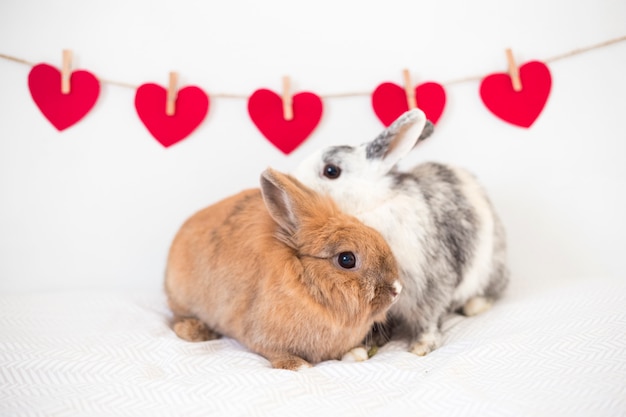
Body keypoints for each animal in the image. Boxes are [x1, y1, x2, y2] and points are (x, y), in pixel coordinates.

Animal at [165, 167, 400, 368]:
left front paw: (356, 354)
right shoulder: (261, 335)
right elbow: (277, 353)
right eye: (347, 259)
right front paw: (299, 366)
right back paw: (196, 331)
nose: (396, 289)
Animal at [292, 109, 508, 354]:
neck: (371, 204)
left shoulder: (430, 283)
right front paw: (362, 347)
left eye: (331, 171)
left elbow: (428, 316)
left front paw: (422, 347)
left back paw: (474, 306)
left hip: (490, 268)